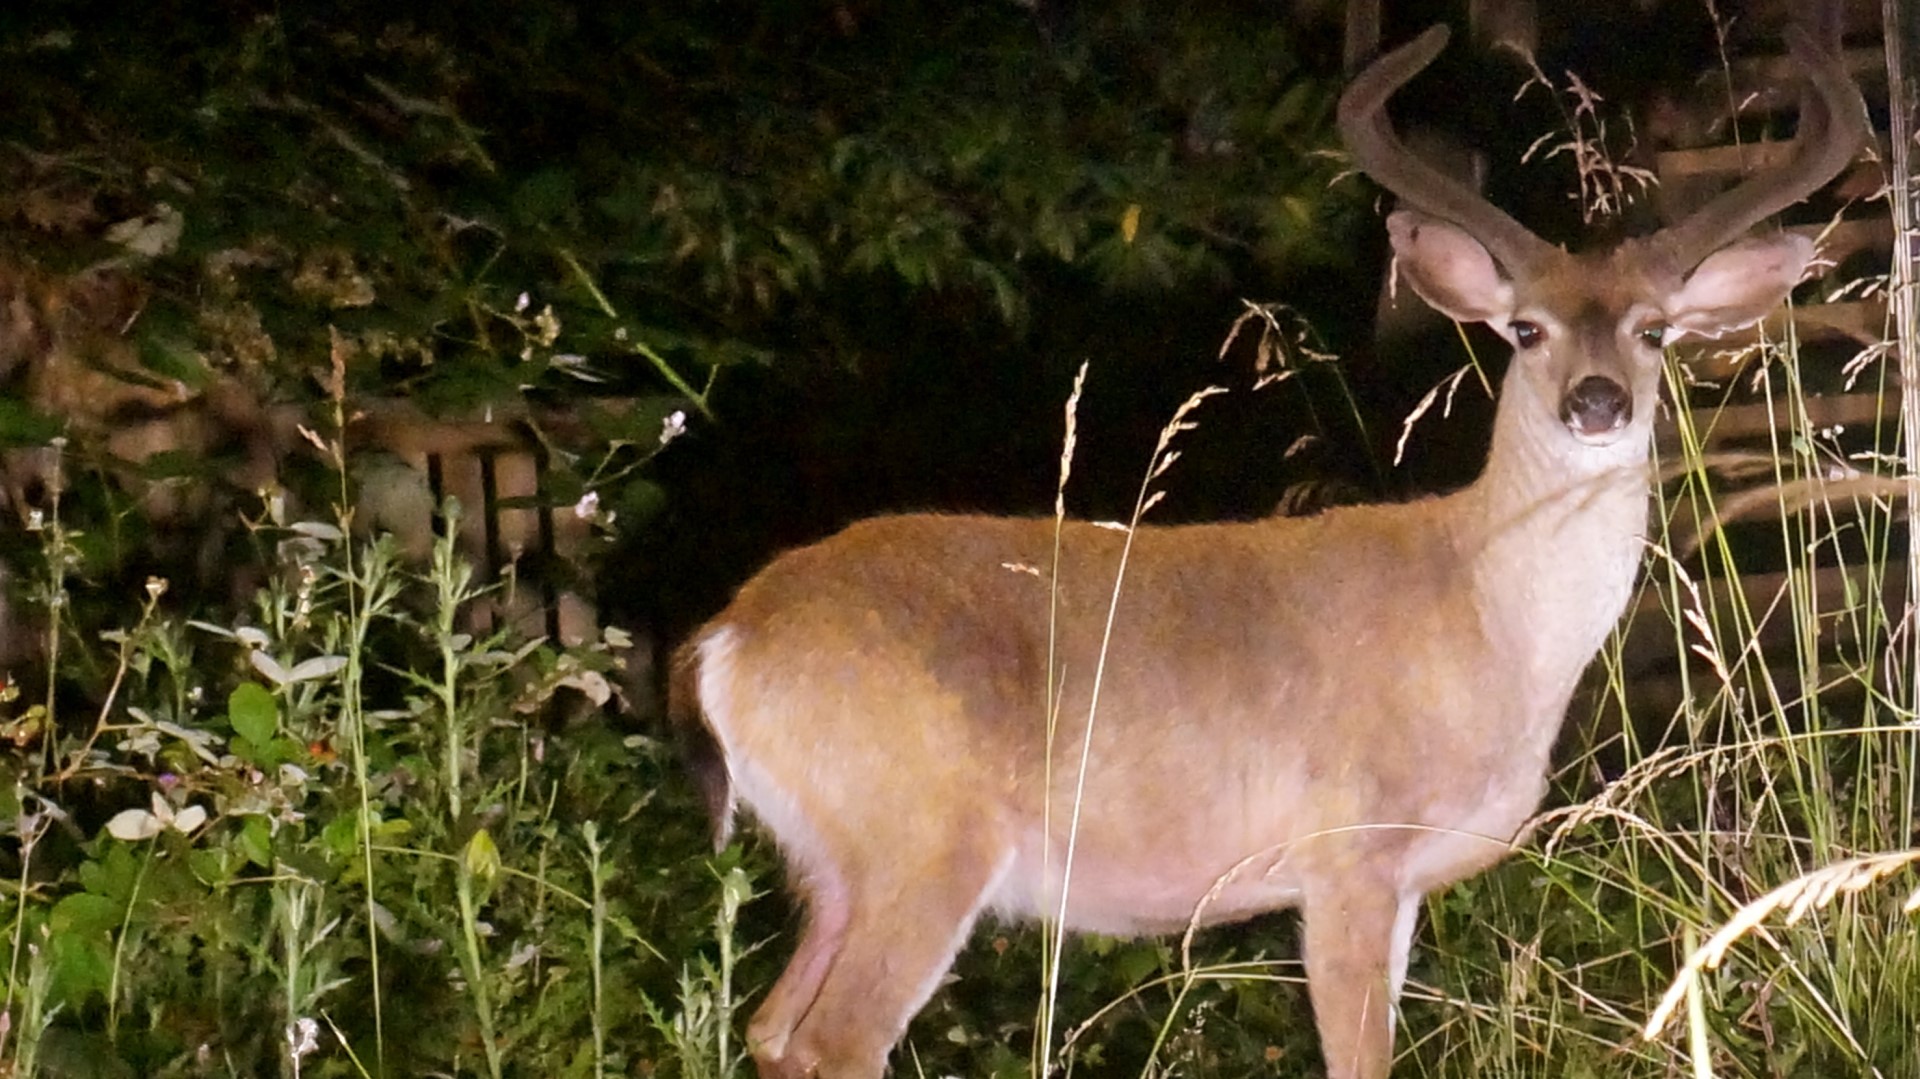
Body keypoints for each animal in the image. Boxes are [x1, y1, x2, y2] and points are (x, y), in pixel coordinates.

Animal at [668, 17, 1866, 1079]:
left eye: (1654, 328)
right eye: (1525, 328)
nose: (1598, 399)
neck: (1488, 619)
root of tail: (724, 639)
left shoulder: (1402, 885)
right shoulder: (1346, 854)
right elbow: (1360, 1060)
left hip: (834, 864)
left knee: (771, 1028)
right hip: (920, 839)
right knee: (835, 1041)